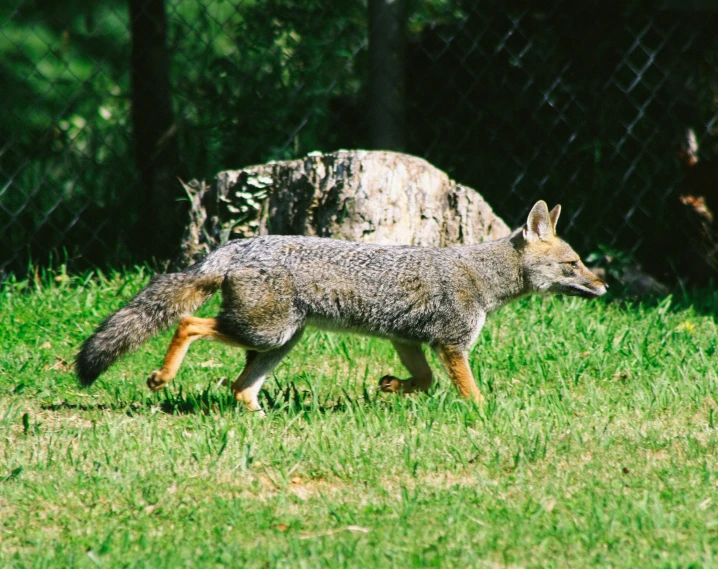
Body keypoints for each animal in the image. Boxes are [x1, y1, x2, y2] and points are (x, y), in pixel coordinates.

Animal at [77, 200, 608, 408]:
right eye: (574, 264)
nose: (604, 287)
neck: (481, 275)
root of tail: (233, 247)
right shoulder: (452, 344)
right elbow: (468, 391)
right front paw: (483, 415)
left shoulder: (408, 341)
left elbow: (424, 380)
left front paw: (391, 386)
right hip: (265, 332)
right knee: (188, 322)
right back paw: (162, 377)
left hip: (279, 342)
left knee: (240, 388)